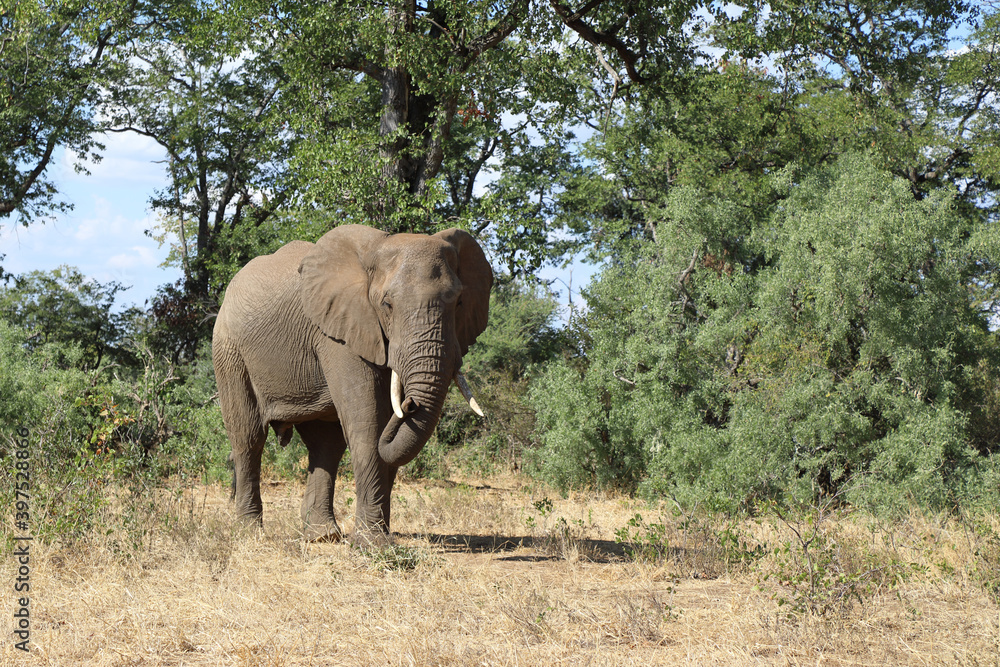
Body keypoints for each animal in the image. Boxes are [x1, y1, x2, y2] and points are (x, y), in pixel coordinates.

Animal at [211, 222, 492, 544]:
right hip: (229, 351)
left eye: (459, 302)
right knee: (248, 437)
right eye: (387, 304)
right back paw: (250, 535)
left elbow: (382, 434)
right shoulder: (340, 333)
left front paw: (374, 538)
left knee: (325, 444)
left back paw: (321, 536)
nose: (409, 403)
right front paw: (374, 545)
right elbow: (368, 423)